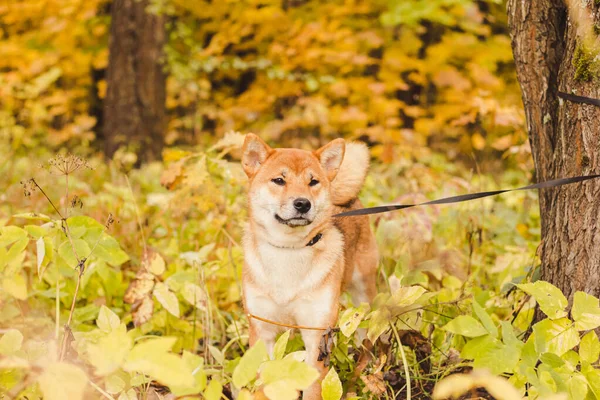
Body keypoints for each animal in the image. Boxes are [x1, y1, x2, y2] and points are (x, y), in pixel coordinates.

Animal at [240, 134, 378, 400]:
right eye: (279, 180)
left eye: (313, 182)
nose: (302, 203)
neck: (288, 251)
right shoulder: (262, 329)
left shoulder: (317, 334)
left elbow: (314, 388)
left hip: (363, 297)